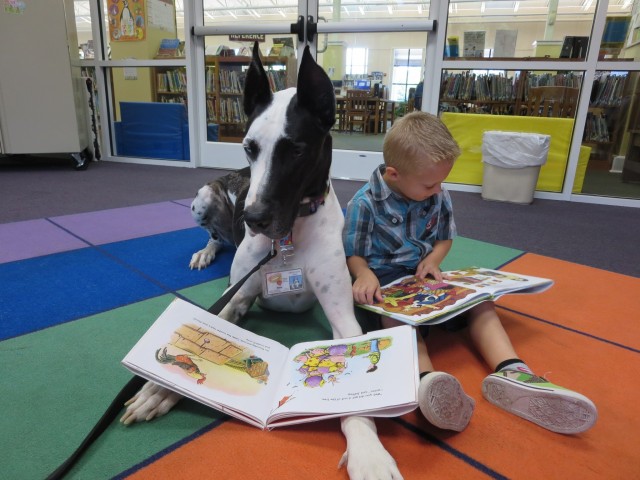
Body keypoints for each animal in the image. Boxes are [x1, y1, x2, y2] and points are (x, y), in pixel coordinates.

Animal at [119, 43, 402, 478]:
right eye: (249, 147)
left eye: (297, 150)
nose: (253, 219)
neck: (287, 237)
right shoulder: (236, 298)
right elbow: (211, 327)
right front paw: (159, 389)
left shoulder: (342, 315)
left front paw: (368, 453)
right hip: (205, 196)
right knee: (215, 236)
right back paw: (206, 250)